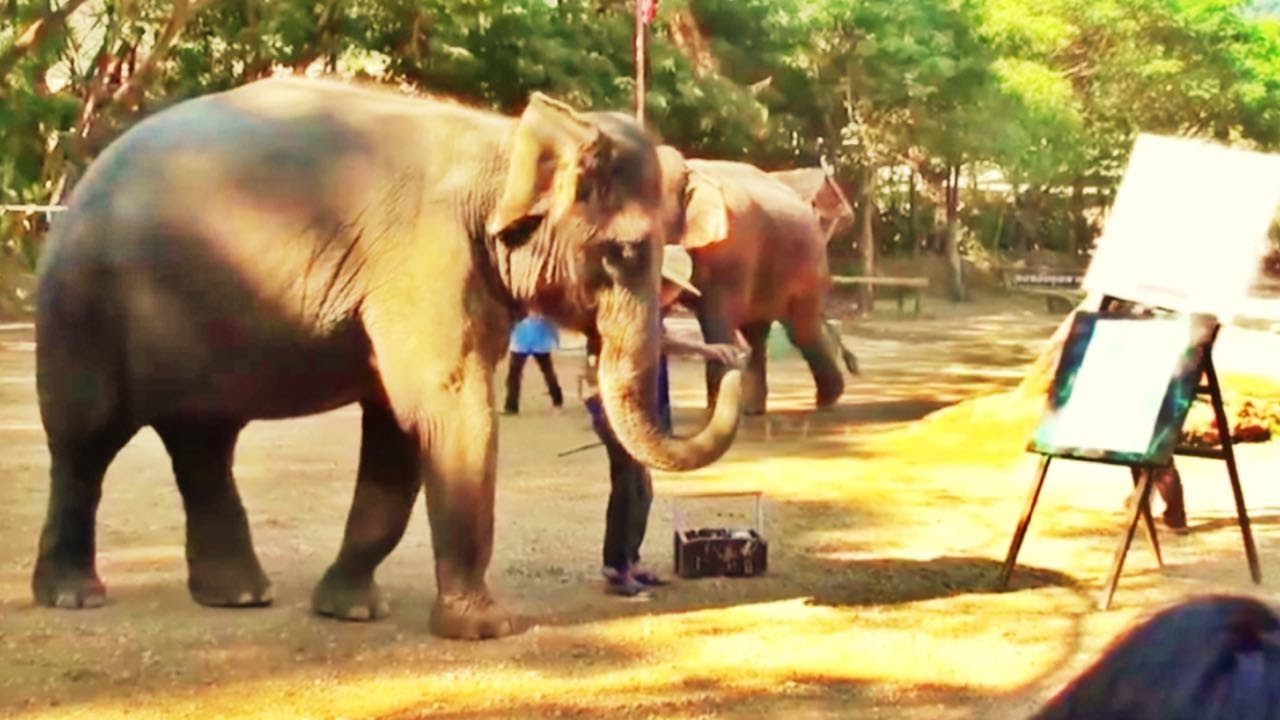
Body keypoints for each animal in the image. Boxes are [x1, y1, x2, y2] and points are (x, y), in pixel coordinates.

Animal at [31, 76, 742, 640]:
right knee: (85, 442)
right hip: (80, 305)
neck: (503, 142)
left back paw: (239, 596)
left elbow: (398, 430)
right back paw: (74, 596)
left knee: (202, 441)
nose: (734, 352)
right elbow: (450, 411)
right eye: (624, 252)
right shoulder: (425, 262)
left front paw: (351, 611)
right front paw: (486, 629)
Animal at [657, 152, 855, 415]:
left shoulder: (732, 250)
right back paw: (753, 409)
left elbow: (717, 320)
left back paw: (827, 400)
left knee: (801, 330)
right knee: (756, 333)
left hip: (809, 264)